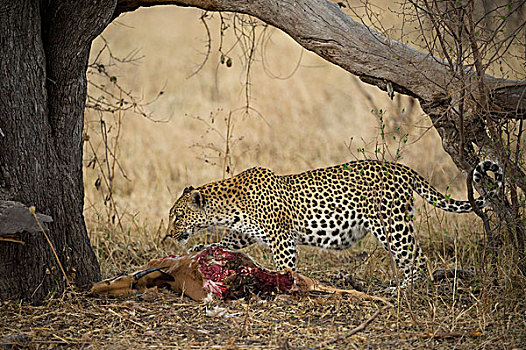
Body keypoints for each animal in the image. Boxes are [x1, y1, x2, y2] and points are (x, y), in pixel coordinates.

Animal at [168, 160, 504, 288]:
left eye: (177, 216)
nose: (170, 234)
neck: (228, 205)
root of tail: (402, 168)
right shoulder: (245, 234)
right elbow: (226, 241)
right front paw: (201, 248)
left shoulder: (281, 238)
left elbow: (285, 266)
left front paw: (284, 284)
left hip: (391, 225)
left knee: (417, 258)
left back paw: (406, 290)